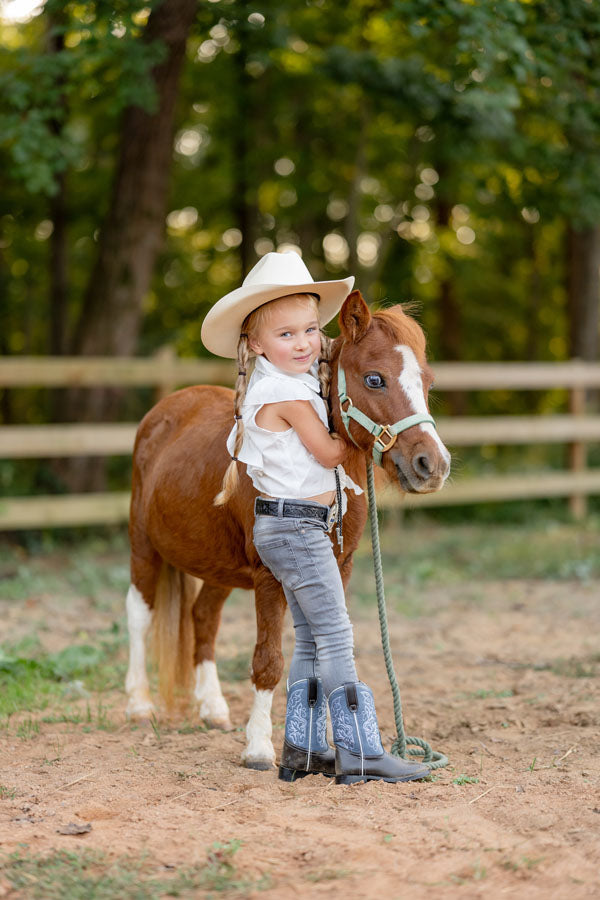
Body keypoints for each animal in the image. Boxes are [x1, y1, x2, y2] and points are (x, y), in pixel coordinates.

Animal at [125, 292, 450, 768]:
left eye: (426, 382)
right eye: (375, 379)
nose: (433, 466)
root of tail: (164, 412)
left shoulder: (339, 569)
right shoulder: (266, 577)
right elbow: (269, 659)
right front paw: (259, 748)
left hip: (217, 565)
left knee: (203, 617)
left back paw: (212, 708)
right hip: (144, 547)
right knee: (139, 613)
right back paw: (139, 704)